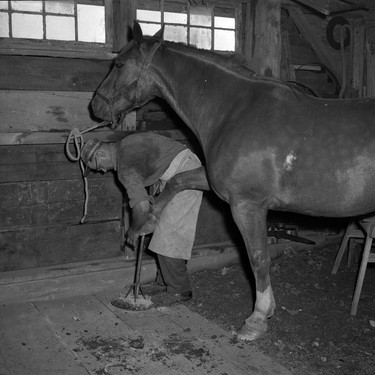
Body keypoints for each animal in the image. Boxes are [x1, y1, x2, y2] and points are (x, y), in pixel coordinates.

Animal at [90, 22, 375, 342]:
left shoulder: (247, 205)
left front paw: (258, 318)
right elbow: (177, 180)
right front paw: (146, 222)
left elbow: (258, 258)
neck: (234, 109)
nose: (96, 105)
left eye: (119, 64)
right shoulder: (215, 184)